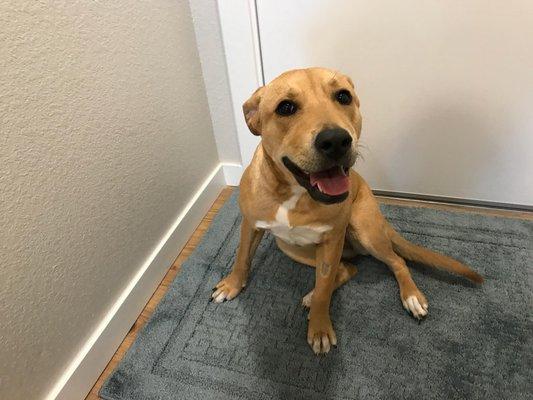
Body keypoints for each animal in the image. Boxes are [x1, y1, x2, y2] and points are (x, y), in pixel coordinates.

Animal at [211, 67, 482, 354]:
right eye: (285, 107)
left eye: (343, 96)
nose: (336, 140)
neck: (295, 193)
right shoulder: (250, 225)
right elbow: (242, 257)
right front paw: (232, 284)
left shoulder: (332, 241)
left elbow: (325, 286)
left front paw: (319, 327)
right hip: (292, 248)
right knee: (347, 269)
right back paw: (313, 294)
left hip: (364, 230)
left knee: (395, 261)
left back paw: (411, 297)